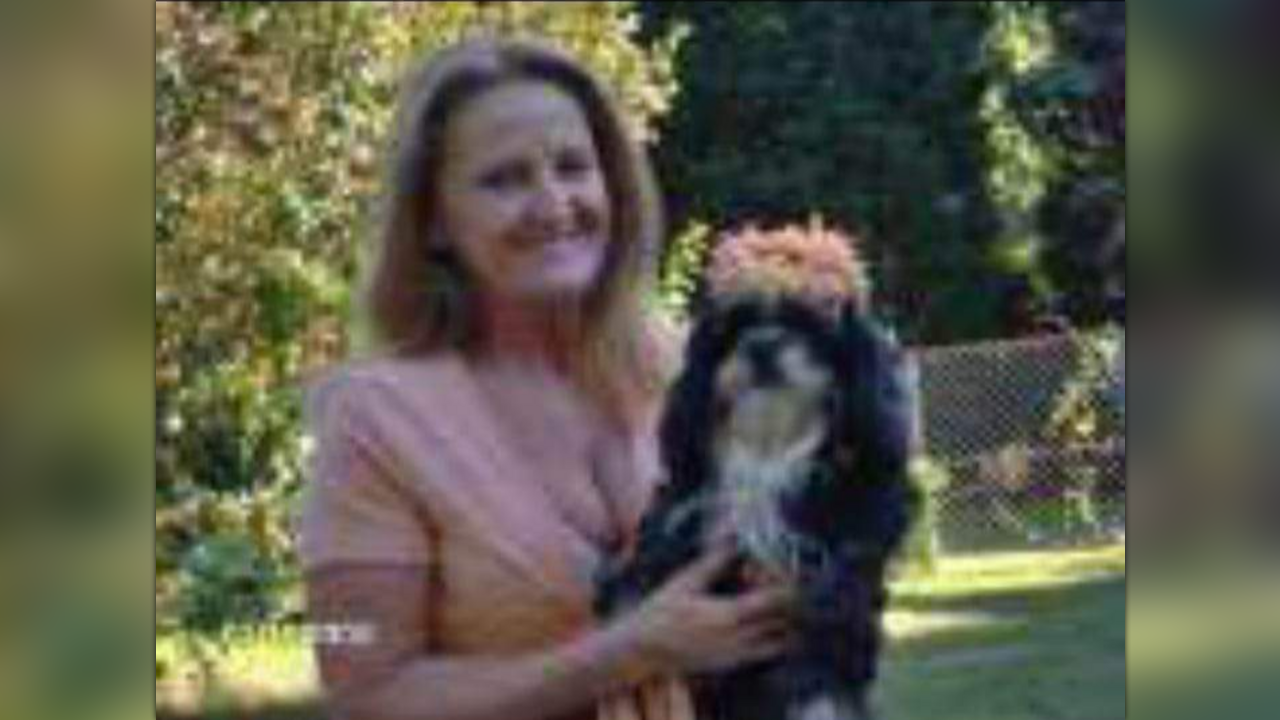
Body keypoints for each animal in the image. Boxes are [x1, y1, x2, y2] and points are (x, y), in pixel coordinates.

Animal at [597, 292, 917, 720]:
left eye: (806, 325)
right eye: (731, 332)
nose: (761, 345)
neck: (768, 457)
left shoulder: (863, 503)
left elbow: (849, 560)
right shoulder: (686, 513)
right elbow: (649, 560)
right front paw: (625, 605)